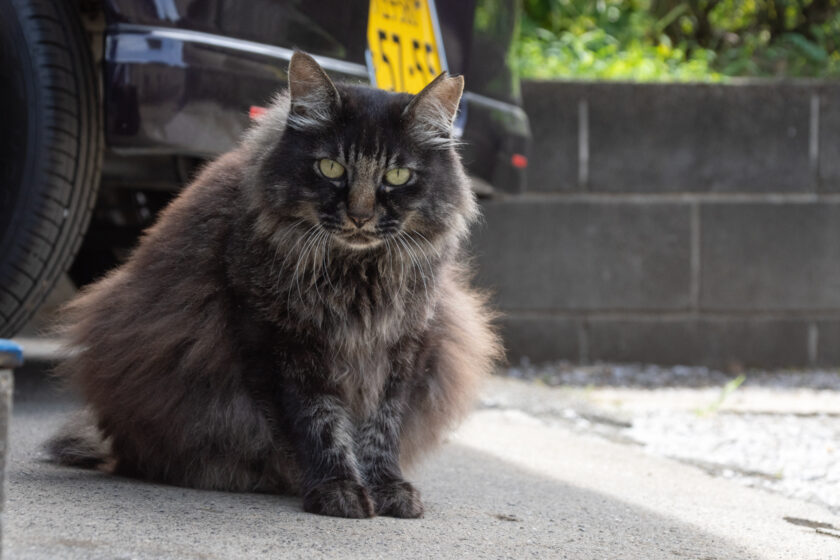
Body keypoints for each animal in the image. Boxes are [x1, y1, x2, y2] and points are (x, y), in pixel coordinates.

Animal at [46, 52, 502, 520]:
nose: (359, 216)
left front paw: (388, 487)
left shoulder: (403, 347)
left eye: (397, 175)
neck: (358, 273)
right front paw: (338, 487)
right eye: (331, 168)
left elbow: (382, 427)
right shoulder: (280, 344)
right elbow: (319, 424)